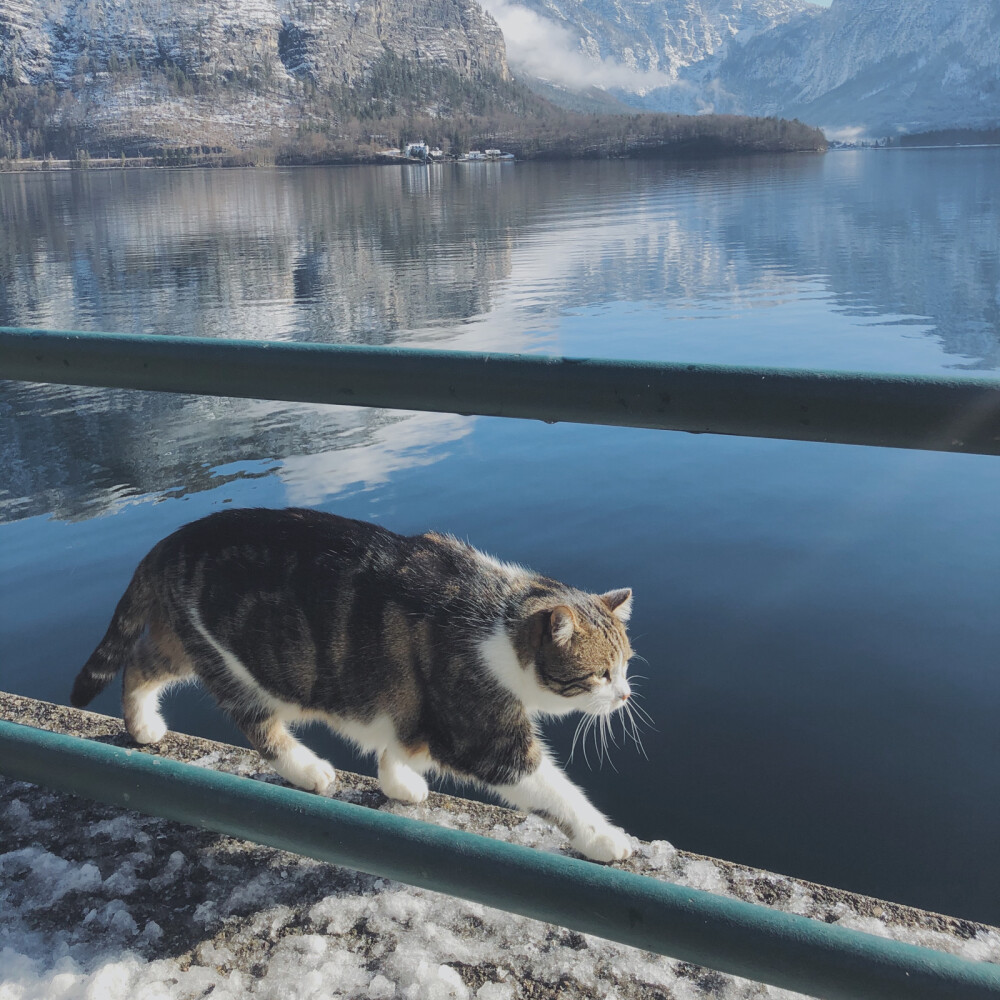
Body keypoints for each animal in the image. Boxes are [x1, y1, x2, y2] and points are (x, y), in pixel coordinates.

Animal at [74, 508, 644, 860]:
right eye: (601, 672)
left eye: (626, 664)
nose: (624, 695)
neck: (499, 618)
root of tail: (172, 540)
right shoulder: (481, 732)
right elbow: (554, 791)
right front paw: (604, 838)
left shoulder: (412, 710)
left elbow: (400, 743)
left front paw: (399, 782)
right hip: (239, 669)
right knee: (258, 725)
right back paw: (308, 770)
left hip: (188, 642)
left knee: (141, 662)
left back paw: (143, 724)